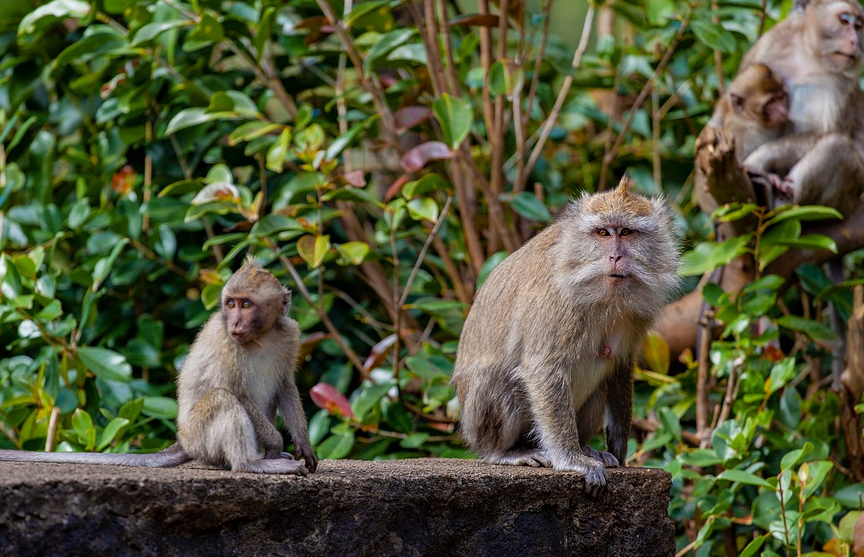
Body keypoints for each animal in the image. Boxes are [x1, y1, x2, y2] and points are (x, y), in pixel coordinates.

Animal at [0, 258, 318, 476]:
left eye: (247, 304)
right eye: (231, 304)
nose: (236, 323)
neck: (259, 337)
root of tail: (183, 442)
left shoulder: (290, 334)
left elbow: (285, 385)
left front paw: (303, 445)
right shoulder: (225, 341)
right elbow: (235, 392)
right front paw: (276, 442)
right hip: (200, 439)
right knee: (221, 398)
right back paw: (251, 463)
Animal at [452, 176, 680, 494]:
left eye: (626, 232)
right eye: (602, 232)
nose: (615, 256)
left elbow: (620, 368)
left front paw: (619, 451)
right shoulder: (556, 302)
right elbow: (543, 369)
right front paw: (572, 460)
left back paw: (585, 446)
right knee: (498, 380)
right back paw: (505, 452)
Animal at [740, 0, 864, 213]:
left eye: (858, 26)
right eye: (844, 20)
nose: (855, 41)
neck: (809, 57)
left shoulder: (842, 84)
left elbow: (826, 131)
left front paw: (758, 159)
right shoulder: (768, 45)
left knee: (837, 147)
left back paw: (785, 199)